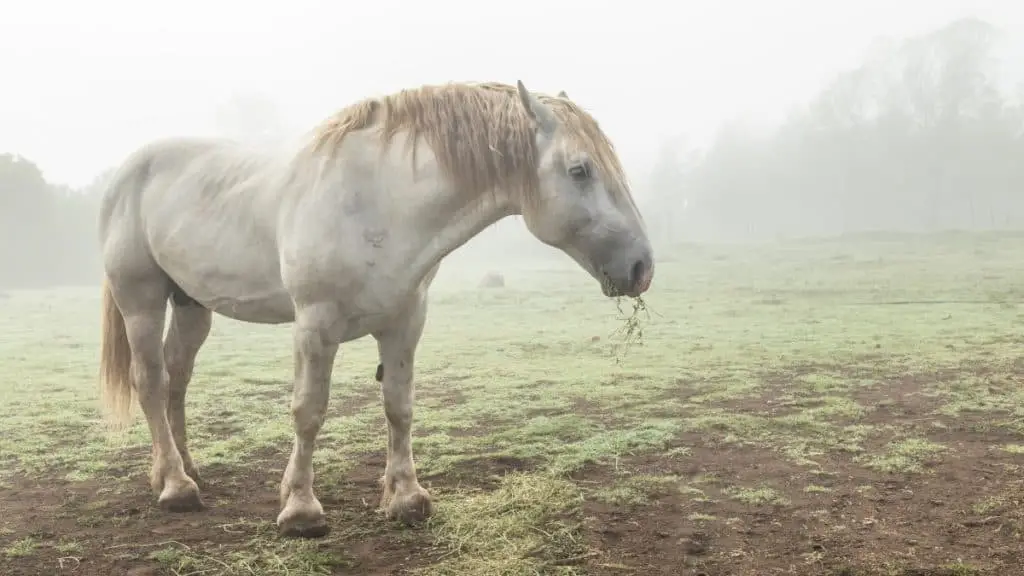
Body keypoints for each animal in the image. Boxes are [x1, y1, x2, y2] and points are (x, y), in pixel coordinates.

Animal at [97, 78, 655, 537]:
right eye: (579, 170)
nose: (641, 266)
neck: (381, 202)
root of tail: (127, 171)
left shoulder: (405, 322)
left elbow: (398, 407)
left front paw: (405, 499)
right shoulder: (315, 324)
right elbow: (309, 411)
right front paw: (301, 509)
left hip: (192, 305)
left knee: (177, 377)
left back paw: (181, 469)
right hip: (140, 299)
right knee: (151, 381)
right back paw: (176, 487)